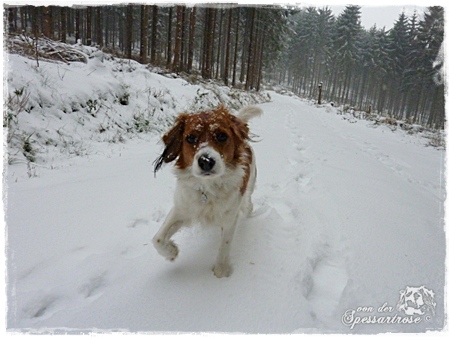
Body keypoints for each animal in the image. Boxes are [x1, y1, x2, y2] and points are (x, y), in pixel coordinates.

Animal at [153, 105, 262, 278]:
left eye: (222, 136)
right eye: (190, 138)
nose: (206, 161)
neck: (208, 189)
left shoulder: (229, 218)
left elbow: (224, 245)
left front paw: (221, 271)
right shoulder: (182, 209)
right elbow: (157, 238)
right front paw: (171, 252)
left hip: (249, 187)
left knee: (248, 205)